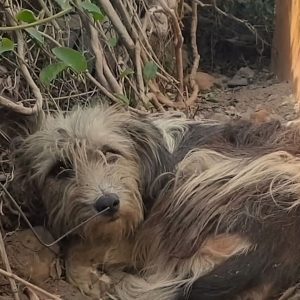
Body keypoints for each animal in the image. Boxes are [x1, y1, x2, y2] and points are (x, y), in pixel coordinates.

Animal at [6, 104, 300, 298]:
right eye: (59, 169)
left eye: (110, 153)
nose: (107, 203)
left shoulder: (138, 228)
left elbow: (79, 250)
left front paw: (88, 275)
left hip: (200, 171)